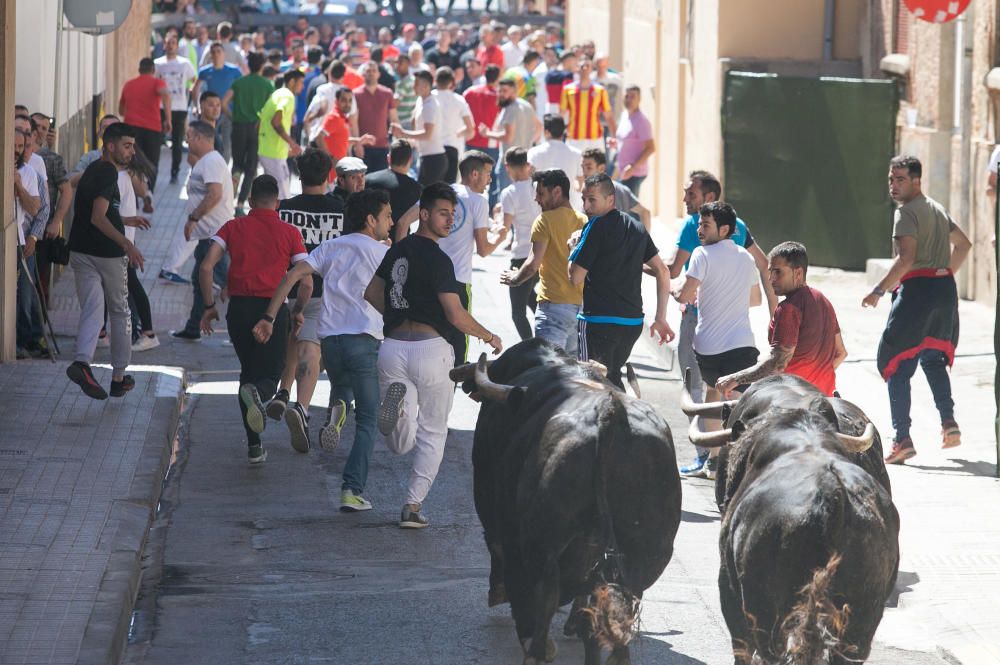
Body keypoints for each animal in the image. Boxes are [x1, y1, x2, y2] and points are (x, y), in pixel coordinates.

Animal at [458, 340, 684, 664]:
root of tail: (609, 413)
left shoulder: (493, 504)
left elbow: (500, 552)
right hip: (651, 548)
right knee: (621, 600)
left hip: (541, 537)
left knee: (543, 589)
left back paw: (535, 648)